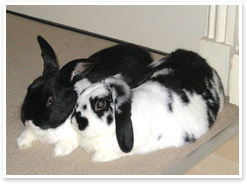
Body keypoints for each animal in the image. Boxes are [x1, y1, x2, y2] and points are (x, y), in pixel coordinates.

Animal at [17, 34, 152, 157]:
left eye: (51, 98)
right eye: (29, 88)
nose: (27, 119)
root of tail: (145, 52)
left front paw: (57, 152)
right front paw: (21, 143)